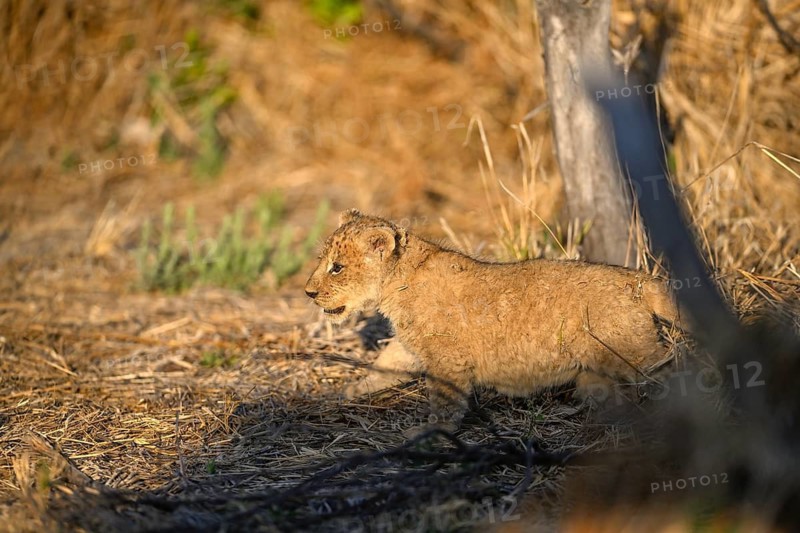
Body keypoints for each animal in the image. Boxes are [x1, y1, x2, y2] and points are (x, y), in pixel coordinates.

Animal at [305, 209, 680, 434]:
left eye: (336, 267)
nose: (308, 292)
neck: (396, 286)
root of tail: (637, 279)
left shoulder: (447, 356)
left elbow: (445, 400)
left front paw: (432, 433)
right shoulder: (410, 346)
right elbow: (385, 364)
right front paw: (350, 391)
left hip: (628, 351)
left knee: (669, 366)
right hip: (597, 372)